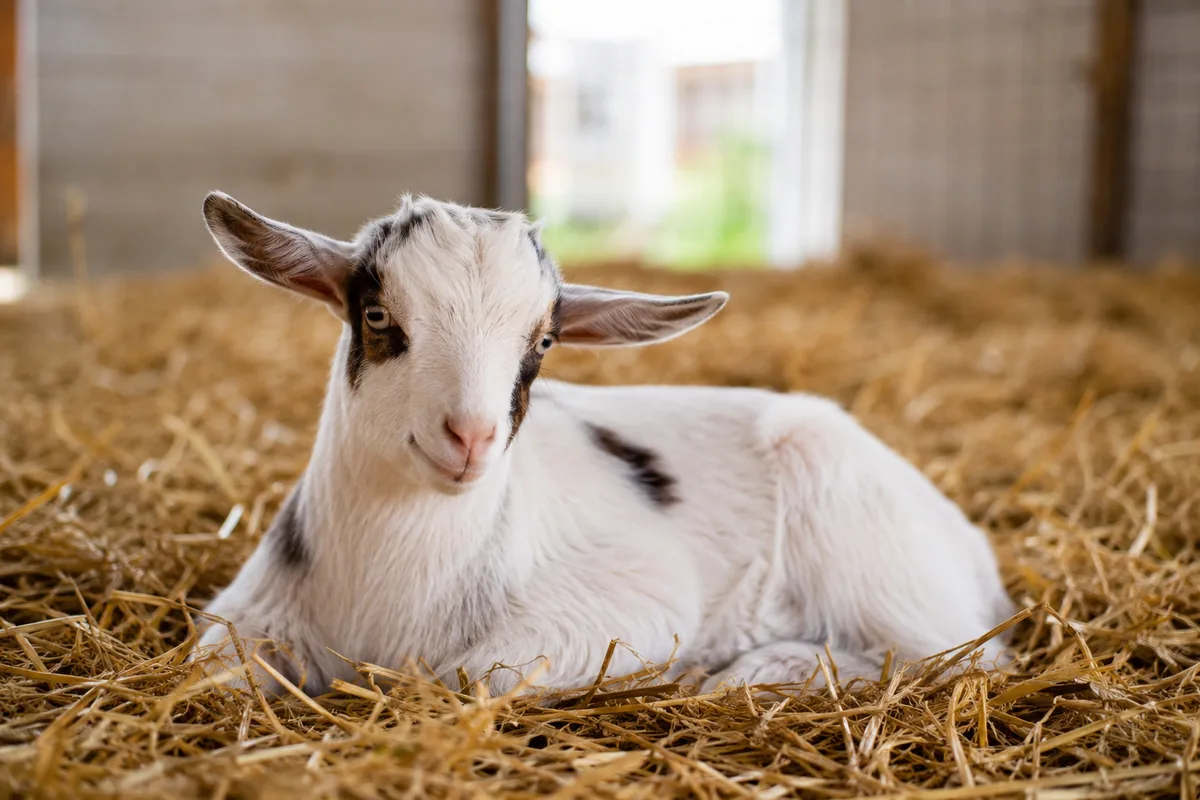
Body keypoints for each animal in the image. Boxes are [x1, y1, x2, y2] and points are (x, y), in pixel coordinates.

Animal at [194, 191, 1014, 697]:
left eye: (543, 342)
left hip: (874, 551)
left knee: (955, 655)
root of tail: (969, 545)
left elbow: (474, 676)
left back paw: (758, 671)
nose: (471, 436)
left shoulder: (637, 596)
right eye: (376, 315)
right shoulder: (249, 614)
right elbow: (212, 667)